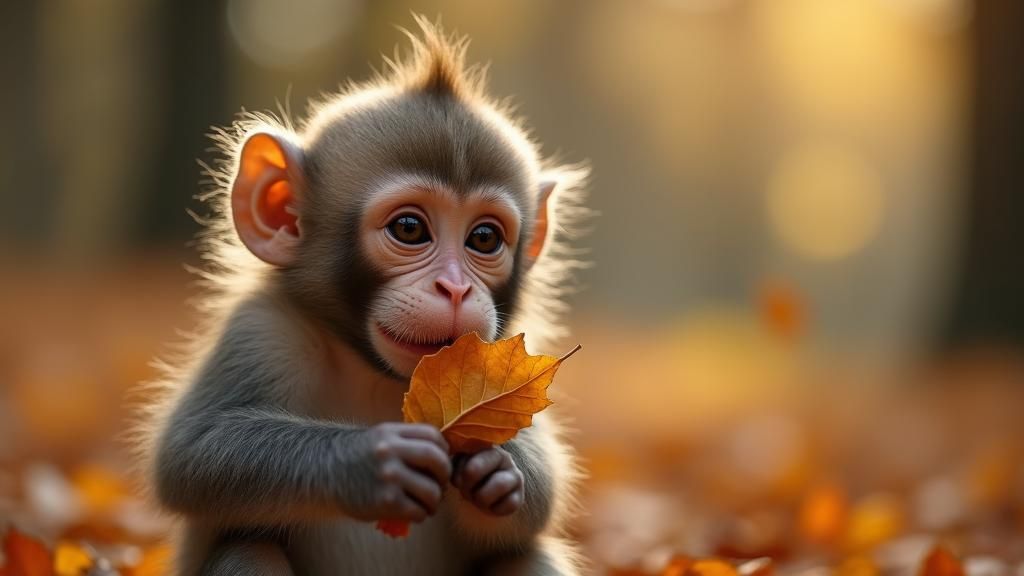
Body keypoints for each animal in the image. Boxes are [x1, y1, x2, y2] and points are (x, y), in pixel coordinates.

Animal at [137, 16, 589, 576]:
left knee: (523, 557)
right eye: (410, 228)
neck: (374, 373)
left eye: (484, 238)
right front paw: (370, 462)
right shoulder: (261, 332)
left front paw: (499, 470)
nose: (456, 287)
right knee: (249, 547)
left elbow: (534, 509)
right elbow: (191, 453)